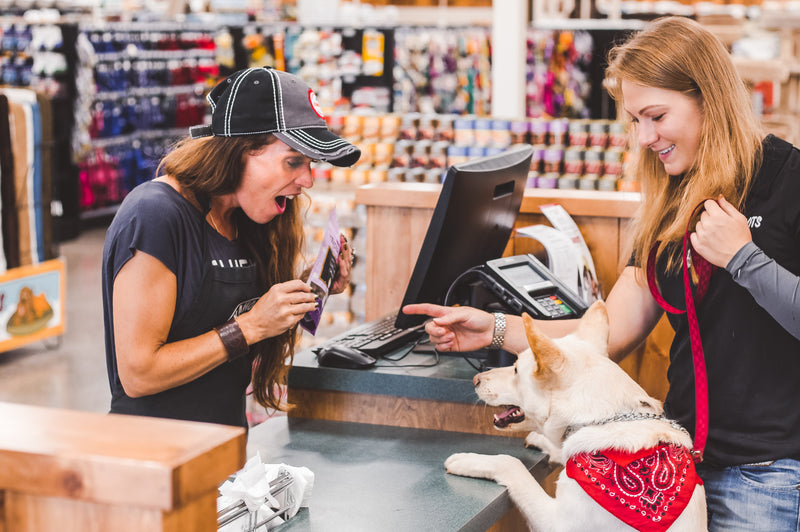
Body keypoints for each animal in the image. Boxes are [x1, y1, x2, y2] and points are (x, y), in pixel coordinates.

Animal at [444, 302, 708, 528]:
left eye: (517, 369)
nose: (476, 379)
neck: (603, 419)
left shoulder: (556, 523)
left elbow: (512, 464)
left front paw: (468, 461)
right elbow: (559, 449)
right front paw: (542, 441)